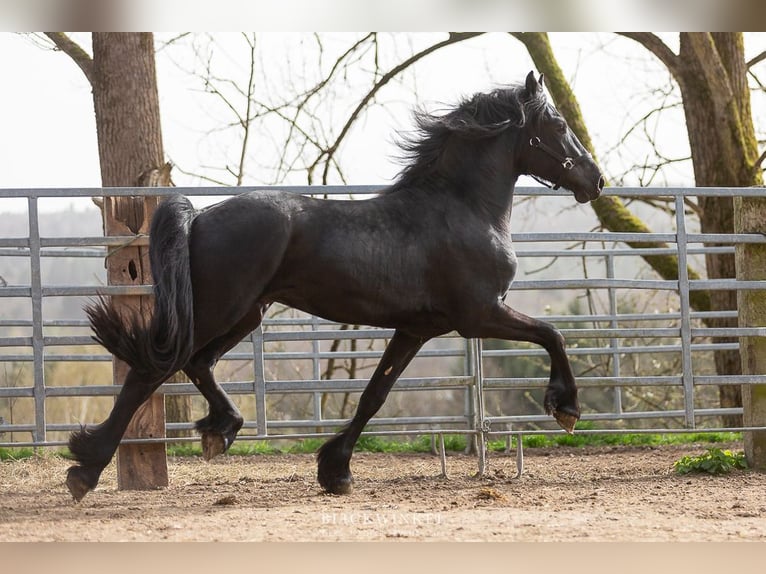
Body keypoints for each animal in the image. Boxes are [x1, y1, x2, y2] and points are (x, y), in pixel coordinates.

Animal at [66, 72, 608, 502]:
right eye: (559, 127)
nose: (596, 181)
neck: (460, 209)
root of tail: (199, 217)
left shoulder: (417, 329)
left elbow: (374, 395)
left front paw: (336, 470)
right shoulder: (478, 314)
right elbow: (553, 333)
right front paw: (566, 408)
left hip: (246, 312)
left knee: (196, 363)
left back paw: (220, 431)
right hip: (221, 308)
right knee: (151, 371)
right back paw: (85, 469)